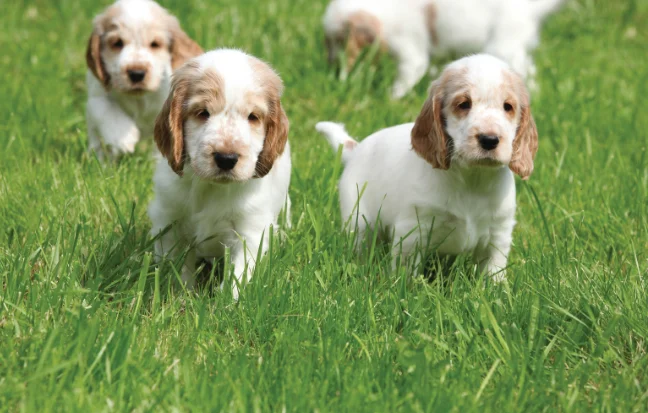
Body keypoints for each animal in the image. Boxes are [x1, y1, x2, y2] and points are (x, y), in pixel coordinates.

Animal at [86, 0, 201, 159]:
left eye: (155, 44)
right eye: (117, 43)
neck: (139, 98)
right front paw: (122, 139)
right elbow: (108, 110)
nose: (136, 73)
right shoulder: (96, 96)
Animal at [149, 48, 292, 300]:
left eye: (253, 117)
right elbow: (175, 267)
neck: (211, 187)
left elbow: (238, 275)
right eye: (202, 113)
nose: (226, 158)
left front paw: (226, 305)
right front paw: (178, 297)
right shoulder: (169, 221)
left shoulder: (249, 232)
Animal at [316, 54, 540, 280]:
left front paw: (495, 289)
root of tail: (355, 149)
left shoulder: (498, 235)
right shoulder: (413, 231)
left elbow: (493, 273)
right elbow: (407, 273)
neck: (472, 178)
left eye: (508, 106)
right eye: (463, 104)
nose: (489, 139)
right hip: (358, 220)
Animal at [322, 0, 564, 98]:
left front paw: (390, 99)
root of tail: (528, 11)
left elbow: (406, 77)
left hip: (503, 47)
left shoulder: (410, 52)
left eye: (339, 41)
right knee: (529, 70)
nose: (333, 69)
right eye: (328, 43)